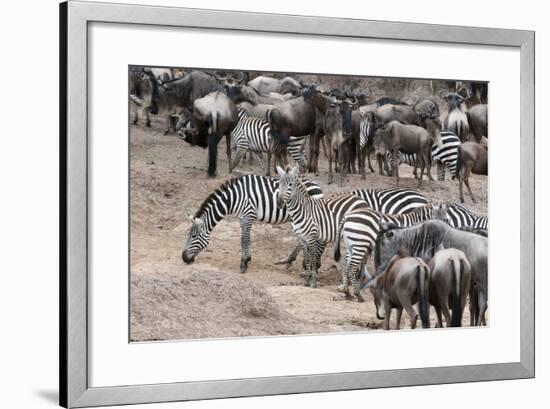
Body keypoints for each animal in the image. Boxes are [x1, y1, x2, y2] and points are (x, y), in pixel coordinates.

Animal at [183, 174, 326, 272]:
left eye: (194, 236)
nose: (184, 258)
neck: (234, 198)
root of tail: (318, 186)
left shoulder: (248, 214)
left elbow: (244, 239)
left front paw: (243, 263)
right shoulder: (243, 217)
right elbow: (245, 238)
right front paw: (247, 259)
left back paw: (310, 263)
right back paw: (291, 260)